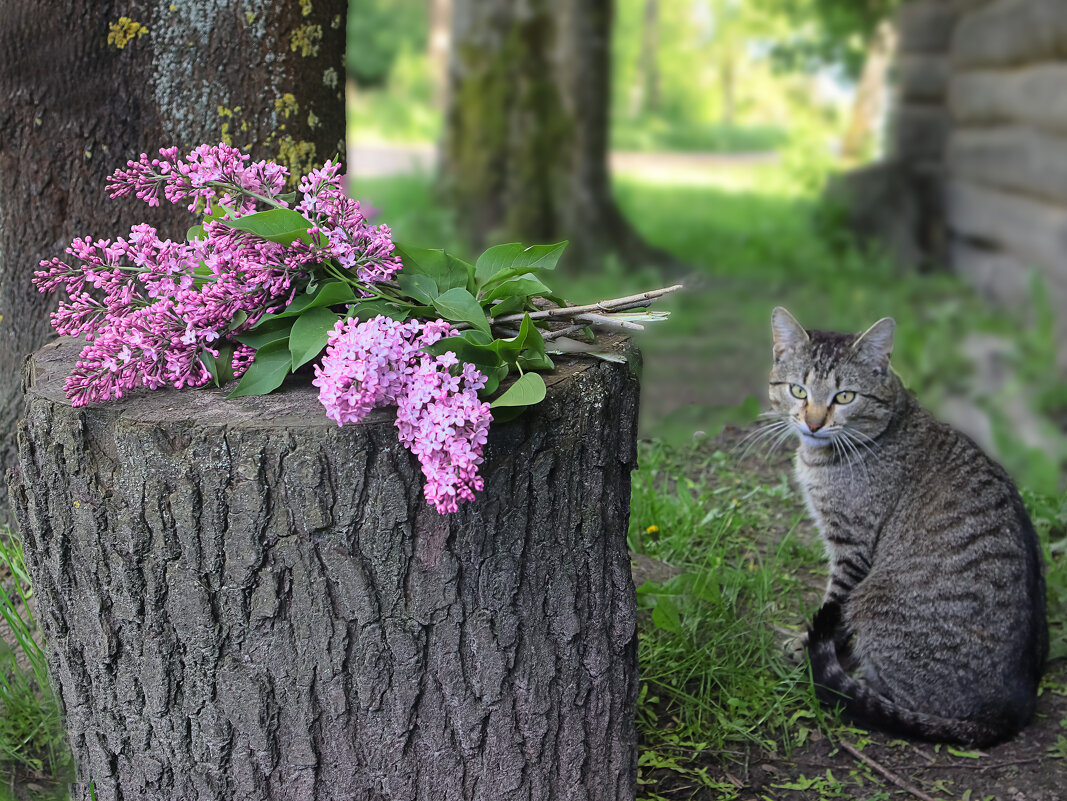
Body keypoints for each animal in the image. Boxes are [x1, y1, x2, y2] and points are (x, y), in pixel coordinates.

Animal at [768, 307, 1049, 746]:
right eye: (798, 391)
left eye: (844, 397)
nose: (812, 423)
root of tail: (1008, 713)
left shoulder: (851, 546)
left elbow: (833, 604)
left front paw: (806, 646)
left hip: (873, 599)